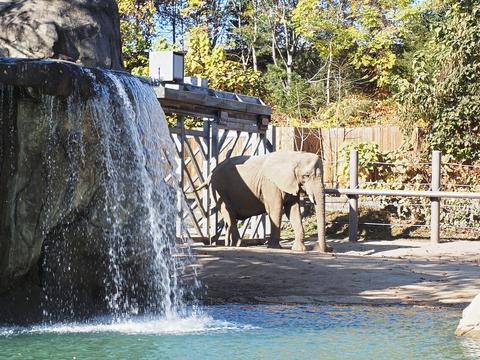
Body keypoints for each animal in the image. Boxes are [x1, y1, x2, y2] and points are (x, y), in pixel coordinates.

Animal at [199, 150, 330, 252]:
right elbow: (275, 209)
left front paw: (299, 249)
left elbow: (293, 210)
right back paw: (240, 244)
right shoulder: (270, 183)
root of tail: (211, 173)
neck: (295, 156)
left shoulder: (290, 183)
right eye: (306, 176)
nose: (327, 249)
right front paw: (274, 247)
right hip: (219, 188)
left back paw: (229, 244)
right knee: (229, 214)